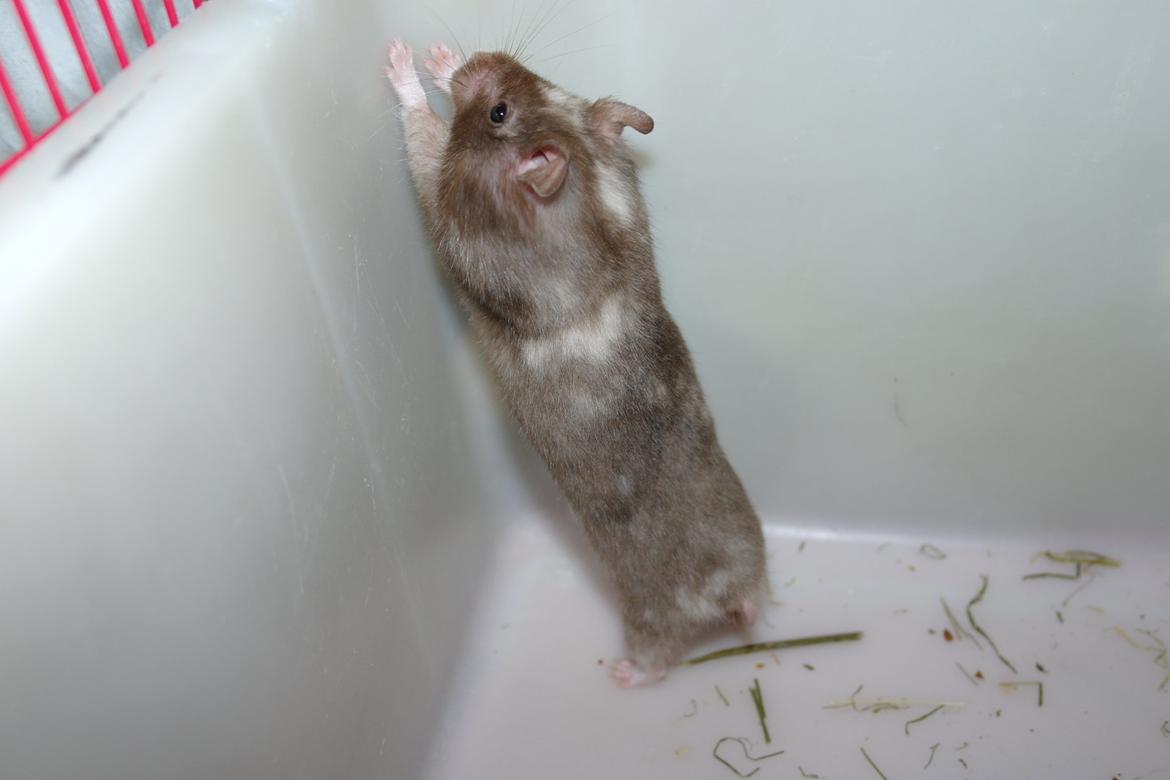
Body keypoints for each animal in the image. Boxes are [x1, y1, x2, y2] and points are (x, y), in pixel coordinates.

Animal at [384, 41, 766, 687]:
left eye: (500, 113)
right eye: (544, 78)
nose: (483, 56)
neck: (587, 185)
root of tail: (729, 592)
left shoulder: (454, 218)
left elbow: (427, 144)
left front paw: (408, 61)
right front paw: (443, 56)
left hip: (650, 610)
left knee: (662, 654)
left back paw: (625, 673)